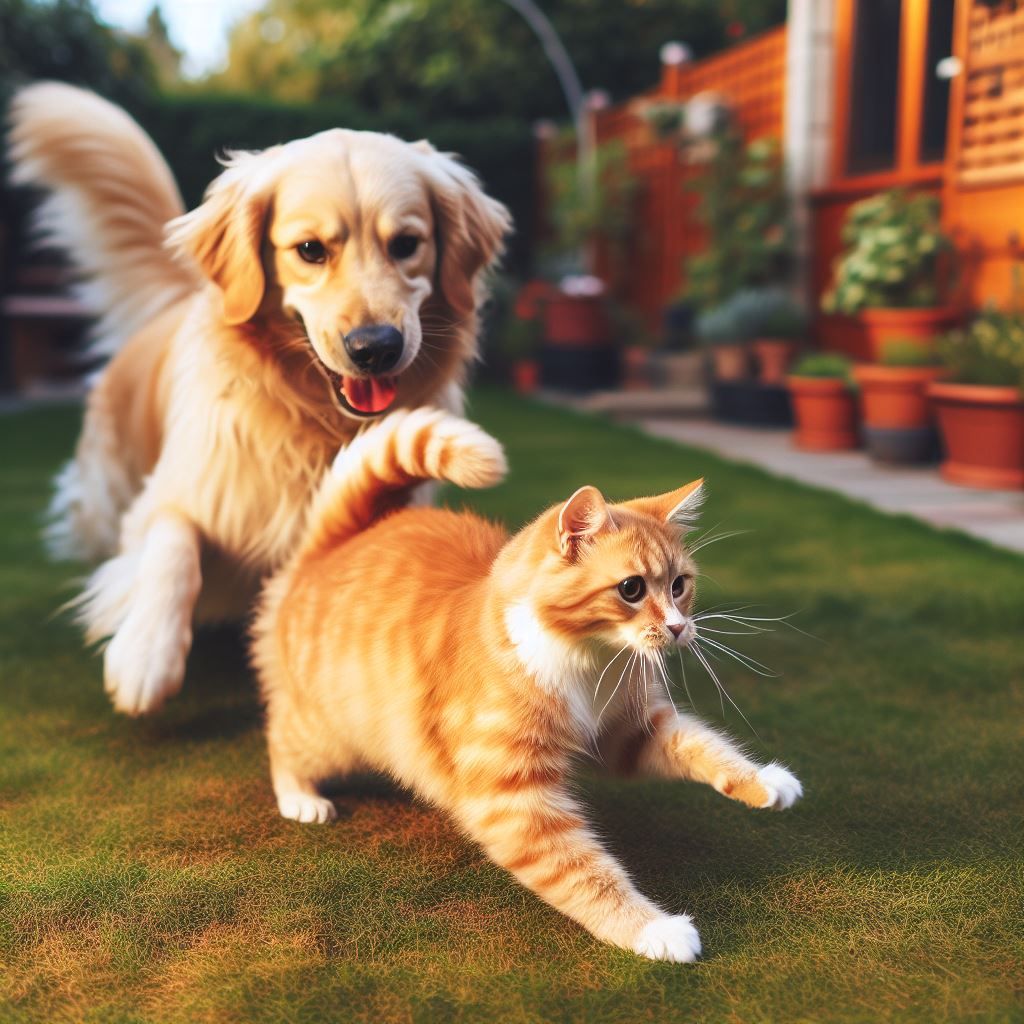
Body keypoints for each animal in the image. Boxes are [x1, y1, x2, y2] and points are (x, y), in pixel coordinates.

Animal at [8, 83, 512, 716]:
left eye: (406, 245)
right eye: (310, 249)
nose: (375, 347)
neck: (316, 425)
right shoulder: (170, 496)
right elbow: (173, 544)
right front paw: (146, 653)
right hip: (106, 489)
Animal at [251, 405, 802, 958]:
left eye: (679, 586)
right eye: (631, 589)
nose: (678, 628)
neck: (590, 662)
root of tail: (335, 545)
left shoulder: (630, 730)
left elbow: (702, 745)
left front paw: (764, 780)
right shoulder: (514, 800)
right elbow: (583, 872)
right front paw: (654, 930)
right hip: (330, 733)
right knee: (281, 738)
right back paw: (301, 798)